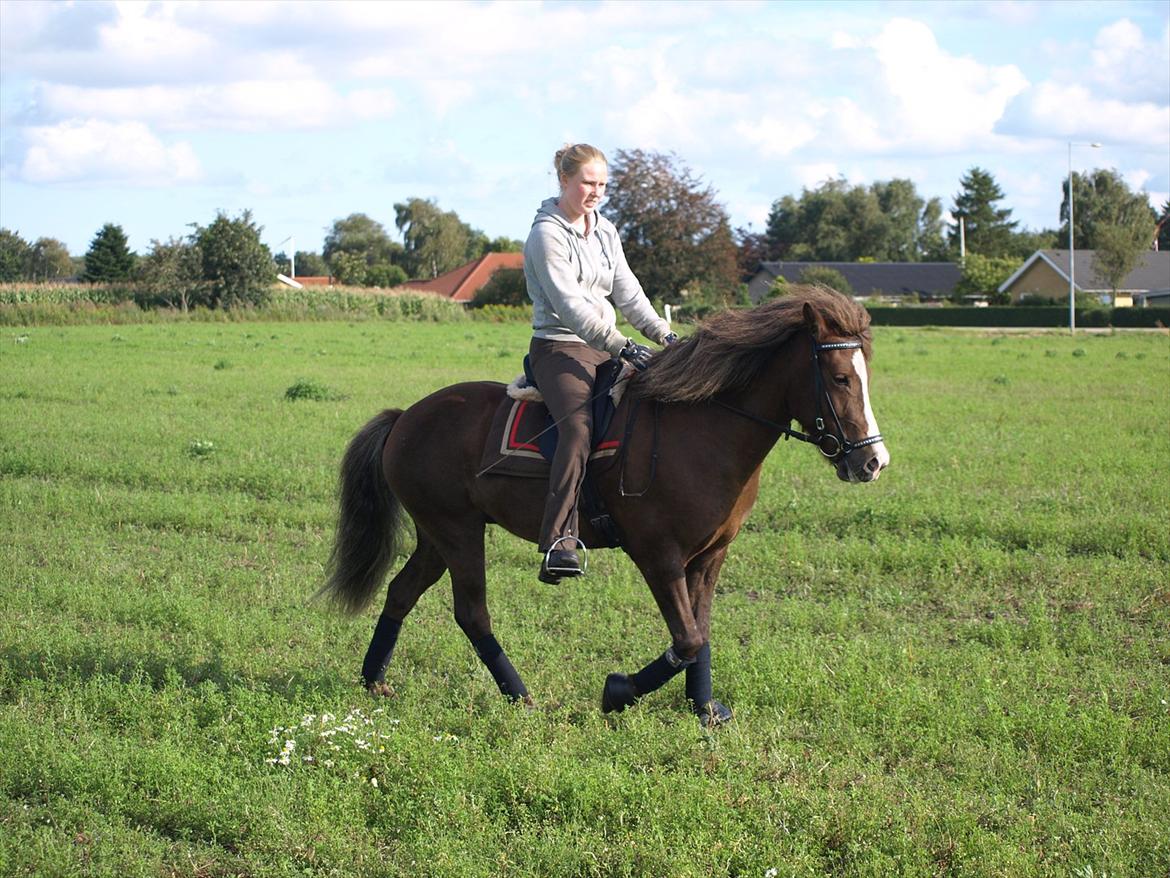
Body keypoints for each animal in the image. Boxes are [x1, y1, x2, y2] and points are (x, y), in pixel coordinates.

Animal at [321, 286, 889, 724]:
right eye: (839, 377)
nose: (873, 463)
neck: (703, 429)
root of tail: (406, 416)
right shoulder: (658, 555)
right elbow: (685, 639)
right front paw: (618, 692)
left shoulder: (709, 556)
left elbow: (701, 633)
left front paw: (704, 710)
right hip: (457, 532)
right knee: (472, 613)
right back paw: (520, 696)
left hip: (438, 535)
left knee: (401, 593)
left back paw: (373, 681)